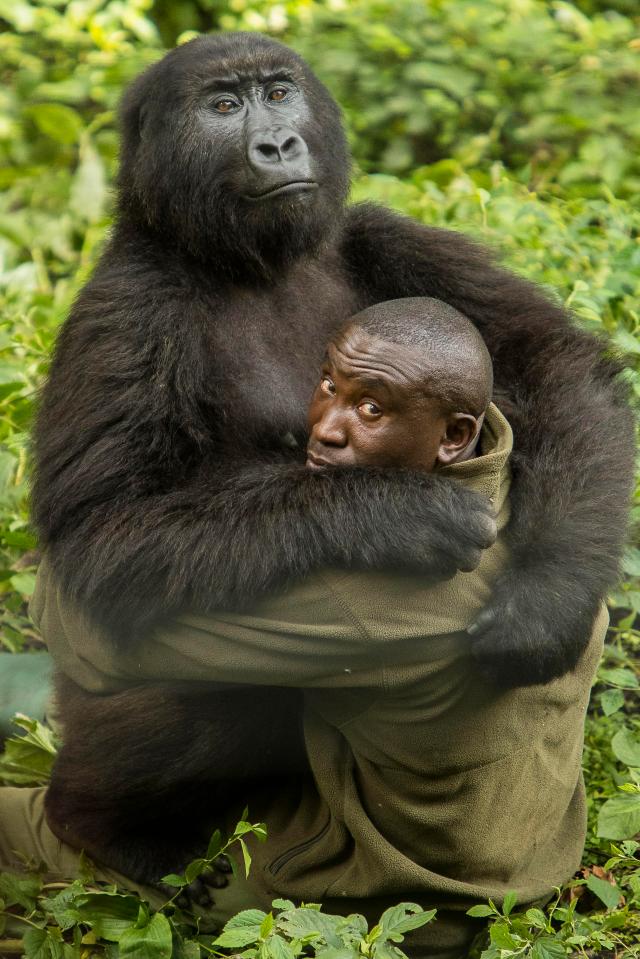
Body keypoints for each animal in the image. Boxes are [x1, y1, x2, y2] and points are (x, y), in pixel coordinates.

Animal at [33, 33, 636, 888]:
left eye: (280, 92)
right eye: (224, 106)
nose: (278, 143)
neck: (245, 259)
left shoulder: (378, 229)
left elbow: (558, 360)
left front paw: (549, 598)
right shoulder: (126, 305)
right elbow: (100, 538)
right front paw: (397, 513)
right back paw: (101, 826)